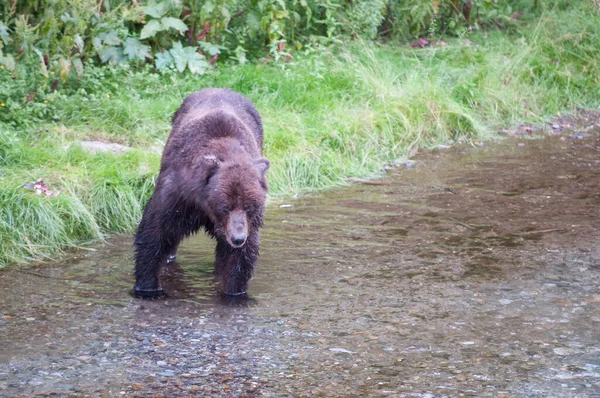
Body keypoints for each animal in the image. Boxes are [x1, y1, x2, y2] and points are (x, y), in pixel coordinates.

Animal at [135, 87, 270, 298]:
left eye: (250, 207)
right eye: (225, 206)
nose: (238, 238)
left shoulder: (248, 223)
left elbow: (239, 258)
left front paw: (234, 293)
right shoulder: (178, 196)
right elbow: (155, 233)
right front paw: (148, 288)